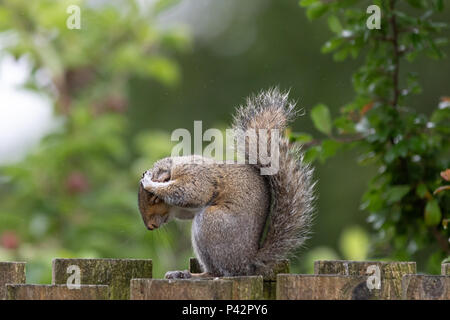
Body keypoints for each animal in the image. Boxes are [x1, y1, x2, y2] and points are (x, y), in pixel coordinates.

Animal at [139, 87, 314, 278]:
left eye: (154, 199)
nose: (150, 226)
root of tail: (247, 263)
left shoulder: (197, 176)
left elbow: (190, 192)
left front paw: (150, 183)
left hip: (210, 223)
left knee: (217, 272)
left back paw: (191, 274)